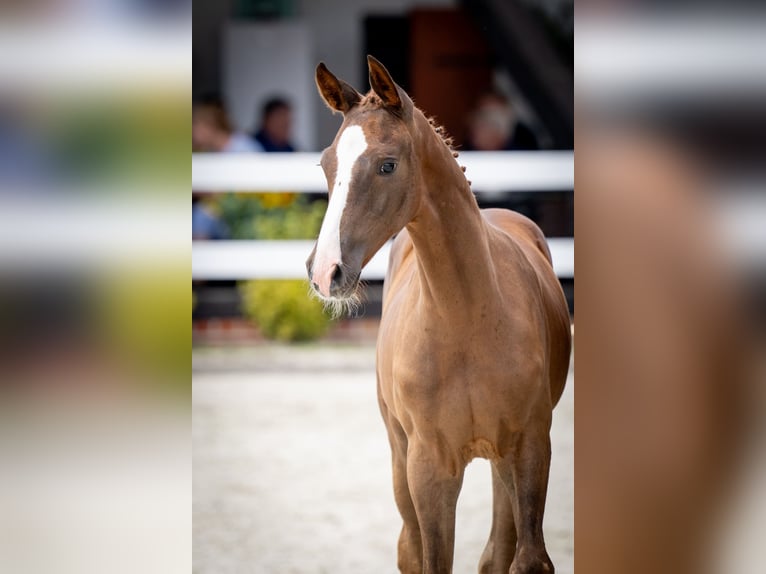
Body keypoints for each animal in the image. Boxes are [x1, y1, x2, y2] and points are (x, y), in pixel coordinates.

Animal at [306, 55, 568, 574]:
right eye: (326, 164)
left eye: (387, 164)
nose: (325, 271)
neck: (464, 319)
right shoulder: (427, 465)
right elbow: (431, 557)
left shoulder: (531, 446)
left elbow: (527, 558)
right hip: (399, 451)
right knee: (411, 546)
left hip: (500, 459)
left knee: (497, 550)